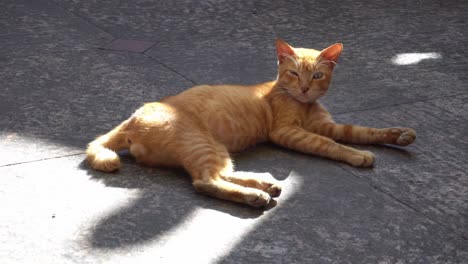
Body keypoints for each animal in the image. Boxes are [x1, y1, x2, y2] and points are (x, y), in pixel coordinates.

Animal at [86, 39, 414, 208]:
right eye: (294, 73)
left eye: (318, 76)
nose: (304, 88)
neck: (301, 103)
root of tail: (132, 118)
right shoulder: (288, 132)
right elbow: (331, 144)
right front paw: (357, 155)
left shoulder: (326, 125)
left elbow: (359, 131)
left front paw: (398, 135)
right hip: (201, 143)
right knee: (205, 181)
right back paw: (256, 196)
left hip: (215, 148)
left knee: (221, 174)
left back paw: (265, 184)